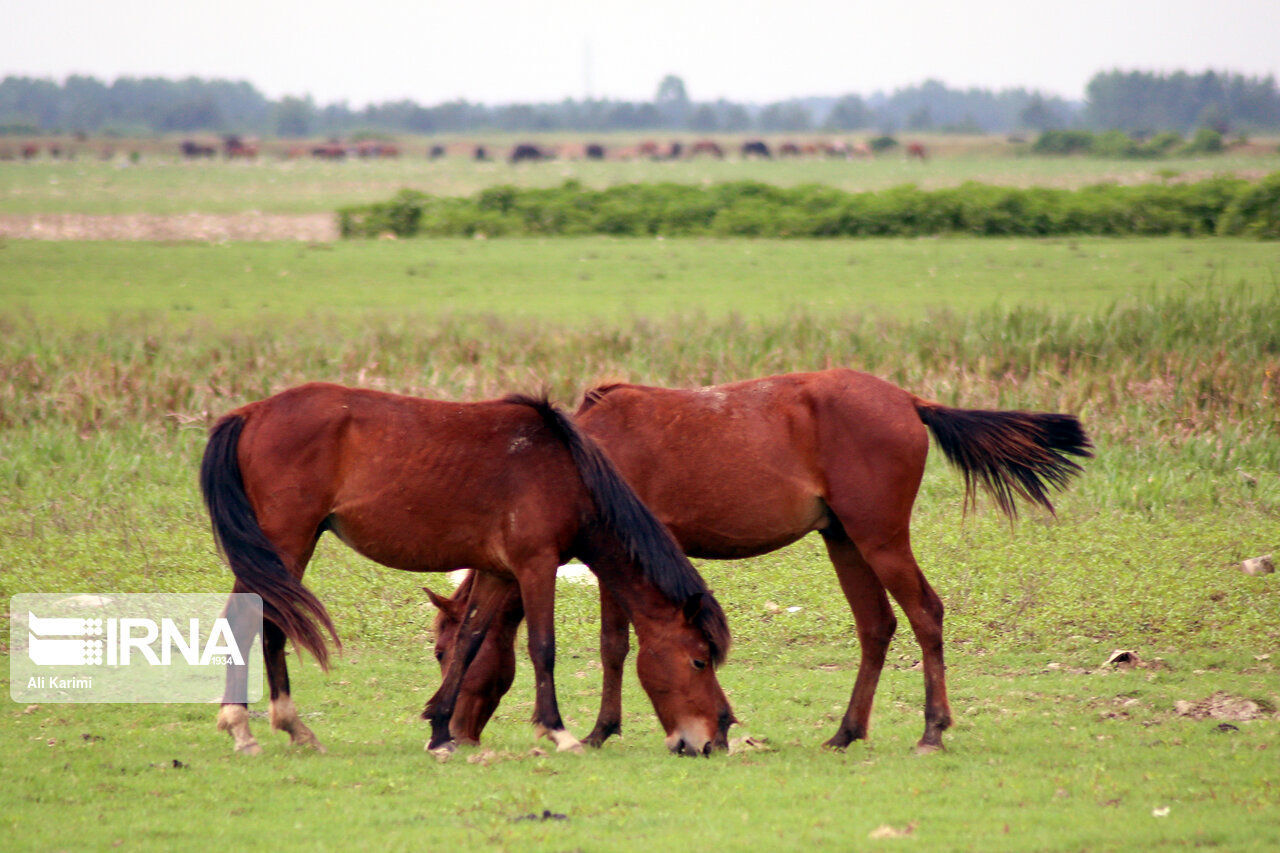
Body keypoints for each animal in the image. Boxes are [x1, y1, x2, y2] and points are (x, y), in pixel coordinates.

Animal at [203, 381, 737, 753]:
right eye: (698, 660)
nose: (712, 740)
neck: (564, 471)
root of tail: (250, 413)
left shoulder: (499, 573)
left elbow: (469, 643)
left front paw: (441, 731)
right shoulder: (536, 566)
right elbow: (543, 648)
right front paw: (559, 732)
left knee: (270, 623)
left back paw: (290, 727)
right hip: (286, 540)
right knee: (248, 620)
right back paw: (246, 729)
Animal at [432, 366, 1090, 753]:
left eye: (441, 652)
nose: (452, 729)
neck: (577, 454)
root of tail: (906, 399)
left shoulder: (617, 558)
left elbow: (613, 644)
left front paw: (597, 731)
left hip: (879, 538)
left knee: (926, 614)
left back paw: (932, 730)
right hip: (844, 541)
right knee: (877, 626)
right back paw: (845, 733)